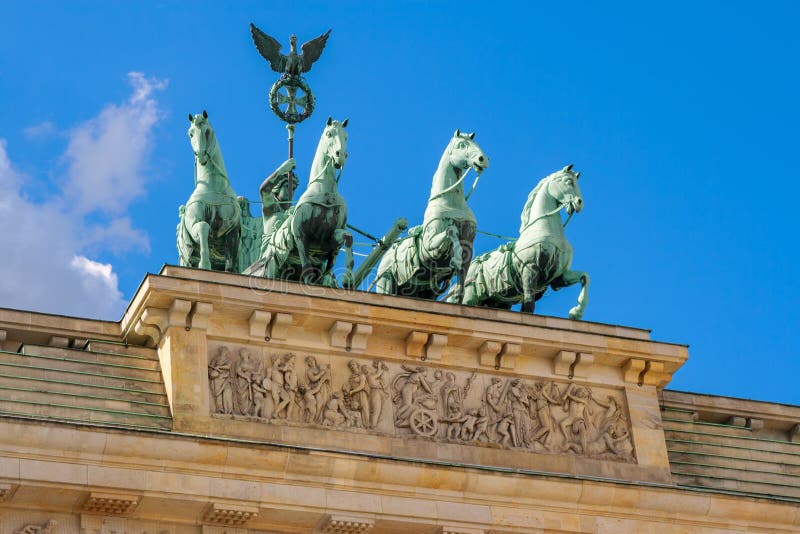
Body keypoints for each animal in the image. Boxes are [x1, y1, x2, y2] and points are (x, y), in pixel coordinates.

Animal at [180, 112, 242, 272]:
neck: (213, 186)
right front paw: (204, 264)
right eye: (190, 134)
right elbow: (203, 226)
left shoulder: (232, 230)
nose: (201, 154)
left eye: (207, 131)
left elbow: (230, 261)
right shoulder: (194, 223)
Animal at [260, 116, 354, 284]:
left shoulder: (327, 241)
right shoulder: (300, 233)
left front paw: (348, 277)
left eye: (346, 137)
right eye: (329, 134)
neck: (325, 192)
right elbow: (307, 269)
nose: (340, 155)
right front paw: (286, 165)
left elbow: (348, 237)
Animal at [374, 131, 488, 304]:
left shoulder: (468, 247)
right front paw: (454, 260)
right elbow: (451, 230)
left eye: (476, 144)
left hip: (424, 292)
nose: (483, 159)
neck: (451, 202)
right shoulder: (430, 248)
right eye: (462, 145)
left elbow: (461, 285)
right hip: (386, 281)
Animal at [456, 165, 588, 320]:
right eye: (568, 181)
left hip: (498, 302)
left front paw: (576, 312)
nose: (579, 203)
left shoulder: (558, 277)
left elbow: (585, 277)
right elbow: (529, 306)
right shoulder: (529, 268)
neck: (544, 229)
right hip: (472, 294)